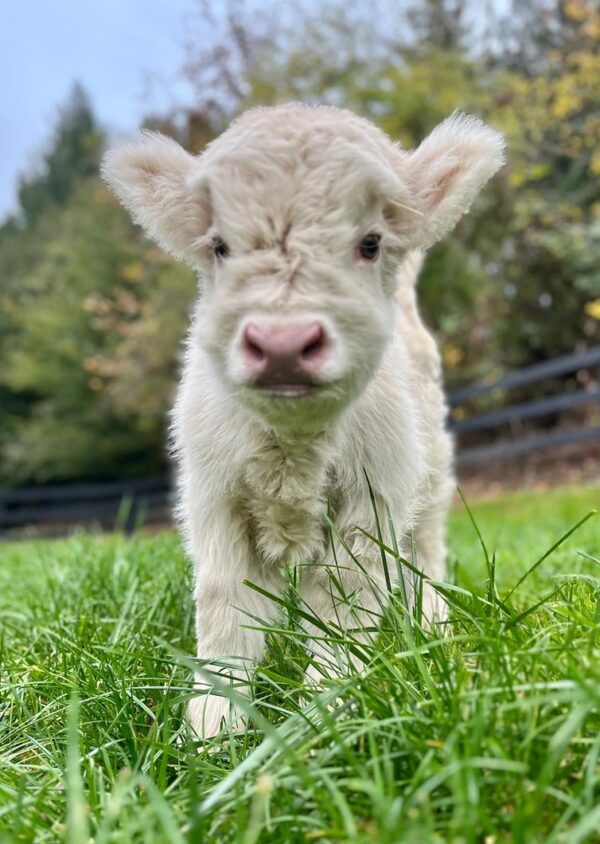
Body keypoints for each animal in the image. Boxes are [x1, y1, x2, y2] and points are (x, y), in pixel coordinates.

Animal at [102, 105, 502, 740]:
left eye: (371, 243)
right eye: (219, 246)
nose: (283, 345)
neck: (293, 442)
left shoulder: (371, 502)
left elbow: (343, 606)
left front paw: (322, 716)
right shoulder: (213, 499)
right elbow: (225, 609)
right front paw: (212, 728)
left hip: (431, 466)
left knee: (426, 550)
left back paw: (435, 629)